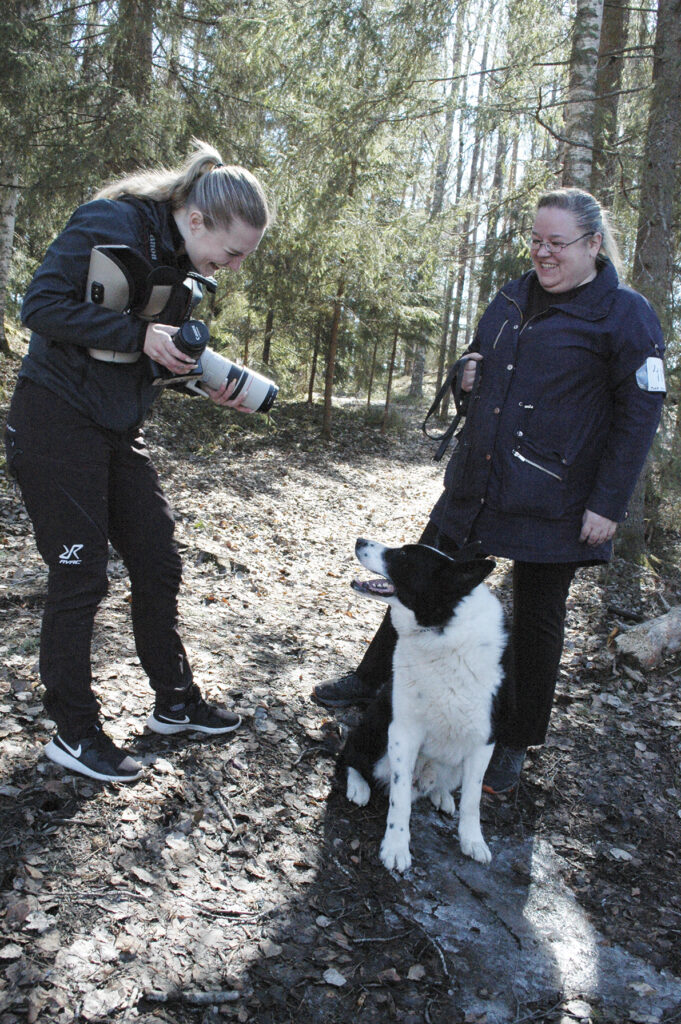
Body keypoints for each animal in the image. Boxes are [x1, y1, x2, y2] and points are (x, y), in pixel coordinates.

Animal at [339, 540, 503, 868]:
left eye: (403, 555)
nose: (360, 541)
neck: (440, 632)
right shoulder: (403, 732)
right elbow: (399, 799)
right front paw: (396, 847)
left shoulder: (484, 740)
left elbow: (473, 799)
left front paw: (473, 840)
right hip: (375, 729)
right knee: (350, 756)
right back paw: (358, 786)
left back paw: (442, 795)